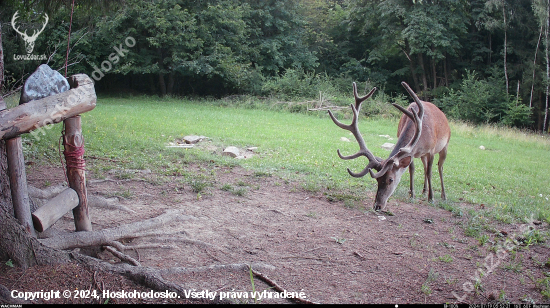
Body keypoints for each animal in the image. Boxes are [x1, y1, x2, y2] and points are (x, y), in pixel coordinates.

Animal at [330, 81, 450, 212]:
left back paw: (443, 196)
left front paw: (431, 198)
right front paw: (412, 195)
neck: (421, 136)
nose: (377, 206)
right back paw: (424, 191)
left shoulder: (431, 150)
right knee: (424, 167)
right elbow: (412, 169)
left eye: (390, 179)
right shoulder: (411, 152)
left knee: (439, 167)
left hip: (445, 146)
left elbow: (430, 172)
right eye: (377, 179)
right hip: (423, 156)